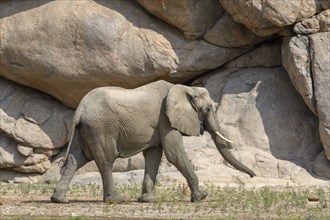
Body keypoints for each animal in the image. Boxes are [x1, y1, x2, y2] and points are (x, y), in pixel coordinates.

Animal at [51, 80, 255, 204]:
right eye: (208, 109)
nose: (253, 176)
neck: (184, 88)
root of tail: (80, 108)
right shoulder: (165, 120)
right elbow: (174, 154)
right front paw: (201, 197)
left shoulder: (160, 125)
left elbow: (154, 155)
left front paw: (148, 200)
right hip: (100, 128)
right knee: (106, 160)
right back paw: (116, 199)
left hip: (84, 130)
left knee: (75, 160)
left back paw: (59, 199)